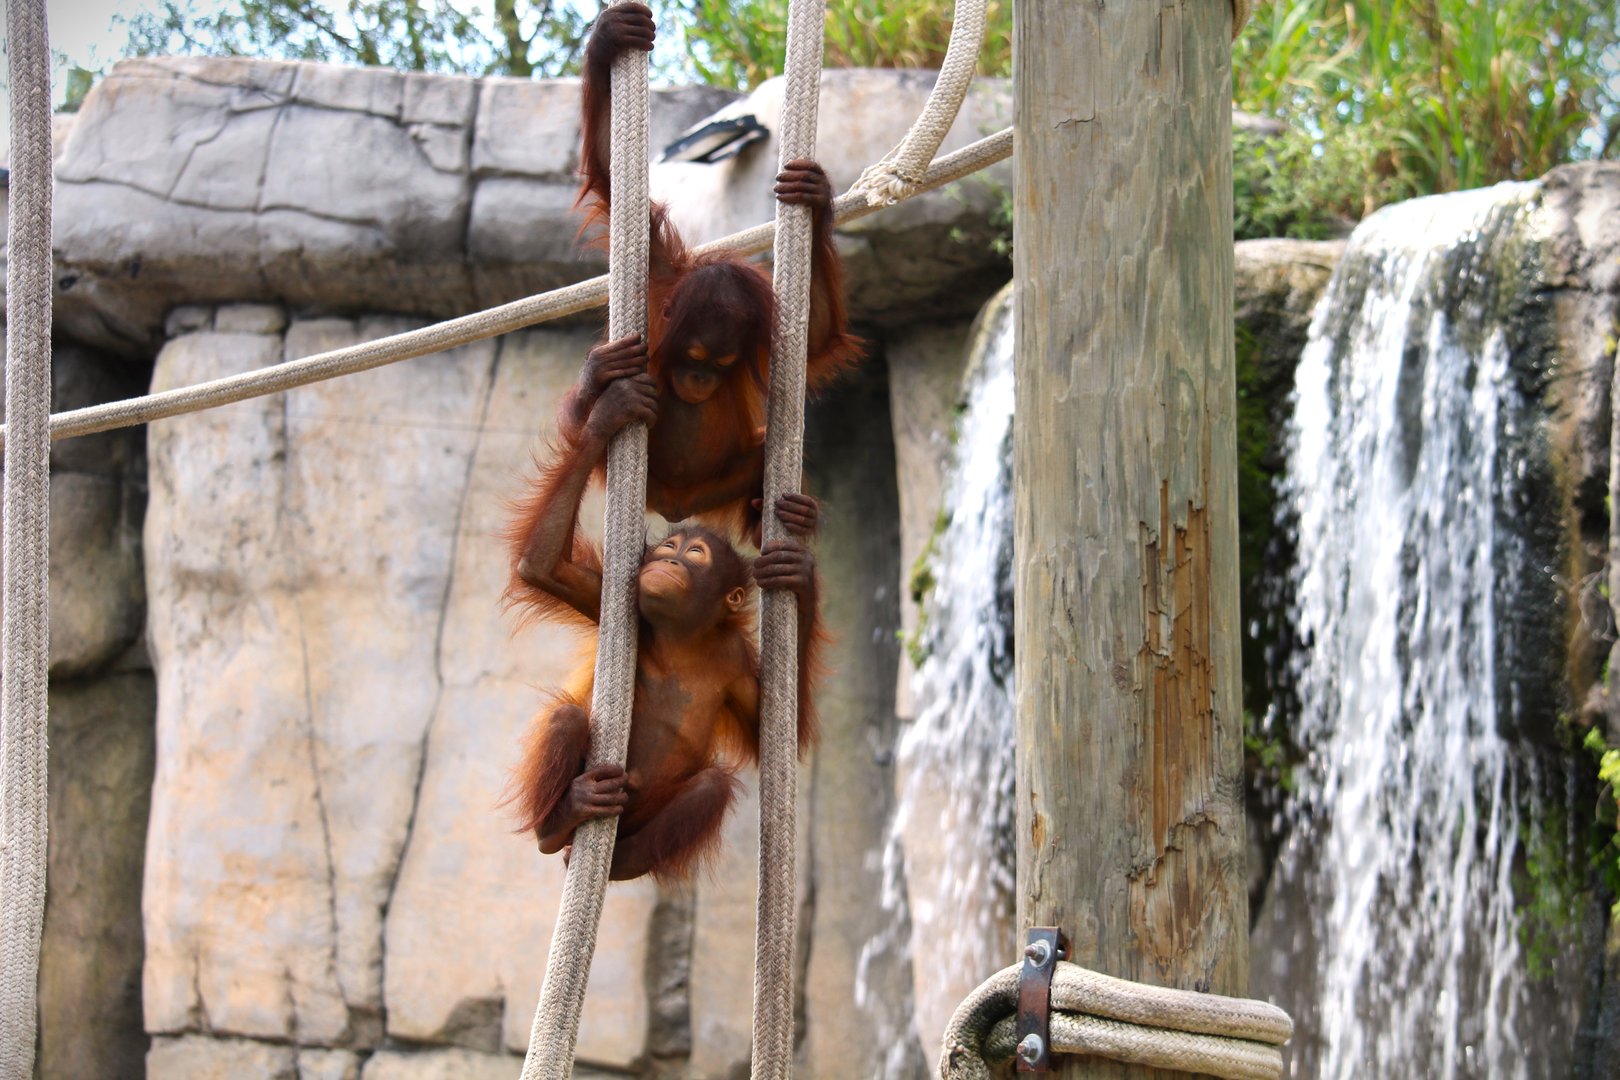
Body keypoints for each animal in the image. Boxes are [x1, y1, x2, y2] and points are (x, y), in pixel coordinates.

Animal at [503, 363, 822, 881]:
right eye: (669, 548)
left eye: (695, 555)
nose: (667, 561)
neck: (681, 635)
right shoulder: (613, 598)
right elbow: (542, 567)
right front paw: (607, 414)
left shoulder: (734, 660)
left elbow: (776, 732)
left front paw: (800, 573)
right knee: (567, 718)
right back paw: (562, 819)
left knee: (710, 786)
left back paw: (621, 862)